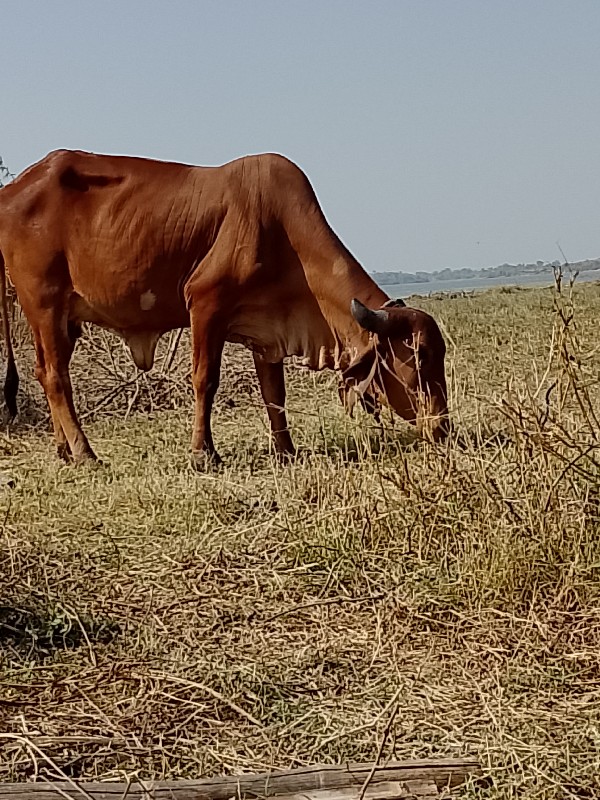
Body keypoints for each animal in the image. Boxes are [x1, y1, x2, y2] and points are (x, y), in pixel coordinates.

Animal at [0, 149, 450, 462]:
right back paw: (85, 453)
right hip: (44, 303)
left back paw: (64, 451)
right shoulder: (205, 303)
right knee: (56, 377)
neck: (284, 232)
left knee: (46, 371)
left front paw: (286, 451)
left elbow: (274, 392)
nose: (442, 428)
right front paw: (204, 453)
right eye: (420, 357)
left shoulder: (269, 330)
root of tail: (13, 189)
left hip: (59, 318)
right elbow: (205, 380)